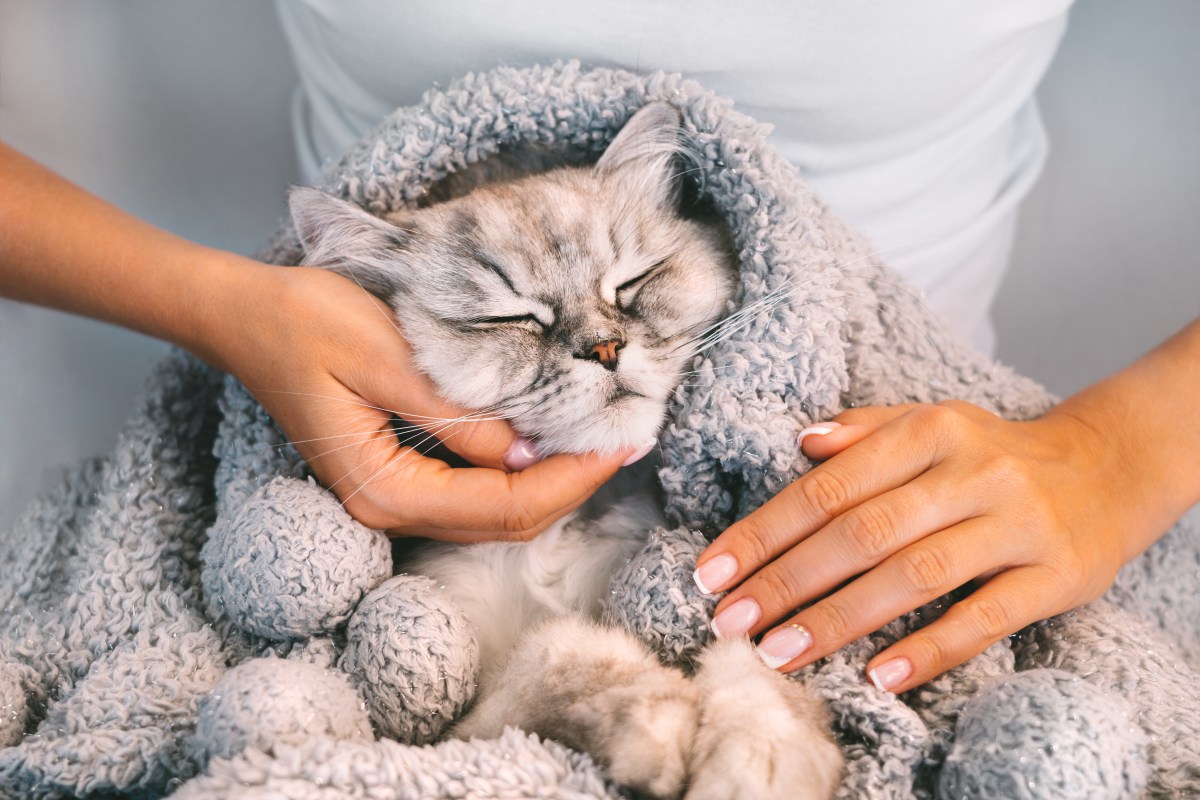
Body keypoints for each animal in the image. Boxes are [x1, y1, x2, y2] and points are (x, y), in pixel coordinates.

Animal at [288, 103, 844, 796]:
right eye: (508, 318)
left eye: (632, 282)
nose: (605, 348)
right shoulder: (458, 729)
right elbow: (561, 652)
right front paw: (659, 724)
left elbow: (755, 664)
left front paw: (760, 761)